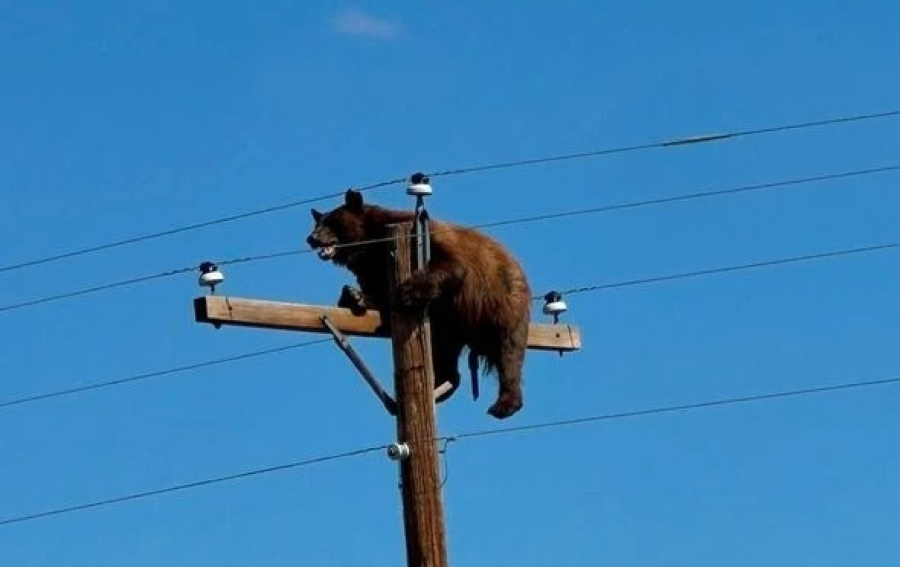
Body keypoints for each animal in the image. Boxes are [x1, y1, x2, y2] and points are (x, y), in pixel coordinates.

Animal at [306, 189, 532, 419]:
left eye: (332, 221)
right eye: (317, 223)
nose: (311, 238)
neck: (369, 244)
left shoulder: (422, 236)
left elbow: (450, 264)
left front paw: (408, 292)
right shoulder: (372, 267)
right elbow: (377, 293)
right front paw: (354, 296)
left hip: (502, 301)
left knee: (508, 351)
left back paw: (504, 404)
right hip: (450, 326)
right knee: (445, 355)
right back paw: (440, 385)